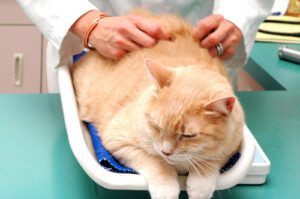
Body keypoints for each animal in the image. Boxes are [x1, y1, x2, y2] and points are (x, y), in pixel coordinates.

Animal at [72, 9, 244, 199]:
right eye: (156, 126)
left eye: (188, 136)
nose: (166, 152)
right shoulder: (118, 140)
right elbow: (156, 163)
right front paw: (166, 188)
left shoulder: (231, 148)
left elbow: (210, 162)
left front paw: (201, 186)